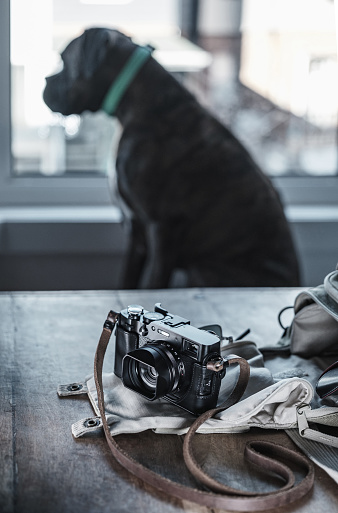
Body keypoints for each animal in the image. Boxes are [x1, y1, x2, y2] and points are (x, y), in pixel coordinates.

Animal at [43, 29, 300, 288]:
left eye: (63, 60)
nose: (45, 81)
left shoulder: (162, 230)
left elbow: (152, 284)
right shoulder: (136, 234)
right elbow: (128, 279)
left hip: (202, 271)